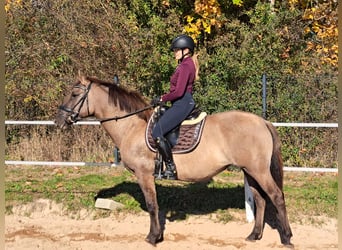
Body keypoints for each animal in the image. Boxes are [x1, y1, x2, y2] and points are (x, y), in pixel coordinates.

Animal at [54, 73, 292, 247]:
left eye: (74, 94)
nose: (58, 121)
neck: (132, 126)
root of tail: (262, 122)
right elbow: (156, 206)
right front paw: (157, 235)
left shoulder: (144, 174)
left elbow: (152, 205)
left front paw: (152, 238)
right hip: (249, 171)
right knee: (261, 199)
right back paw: (254, 235)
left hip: (258, 170)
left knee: (276, 197)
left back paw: (287, 238)